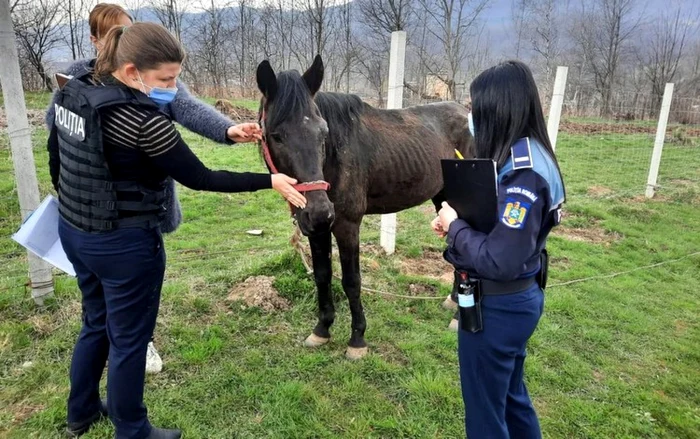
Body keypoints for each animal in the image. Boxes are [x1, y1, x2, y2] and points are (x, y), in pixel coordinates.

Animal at [254, 55, 474, 360]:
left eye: (323, 132)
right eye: (276, 135)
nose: (320, 211)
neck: (335, 158)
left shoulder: (346, 225)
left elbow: (351, 281)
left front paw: (357, 339)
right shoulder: (317, 230)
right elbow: (322, 275)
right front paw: (322, 329)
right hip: (443, 198)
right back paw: (453, 301)